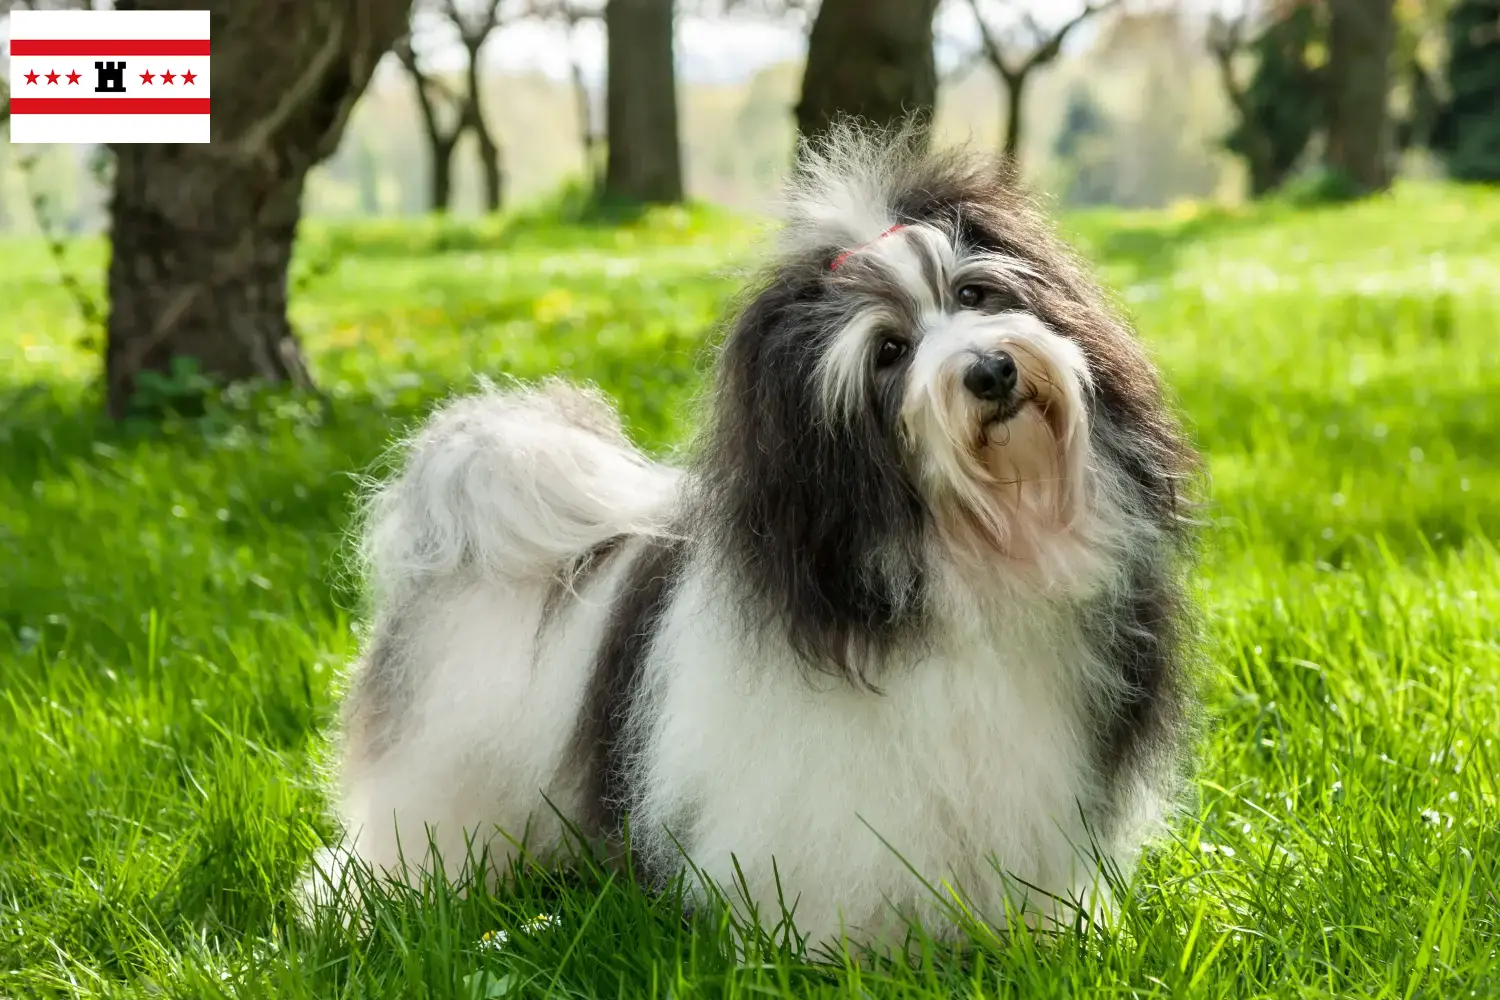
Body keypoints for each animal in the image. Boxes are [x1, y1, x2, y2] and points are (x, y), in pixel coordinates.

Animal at [310, 127, 1200, 953]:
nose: (990, 371)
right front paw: (830, 953)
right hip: (441, 768)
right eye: (889, 351)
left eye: (977, 293)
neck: (970, 555)